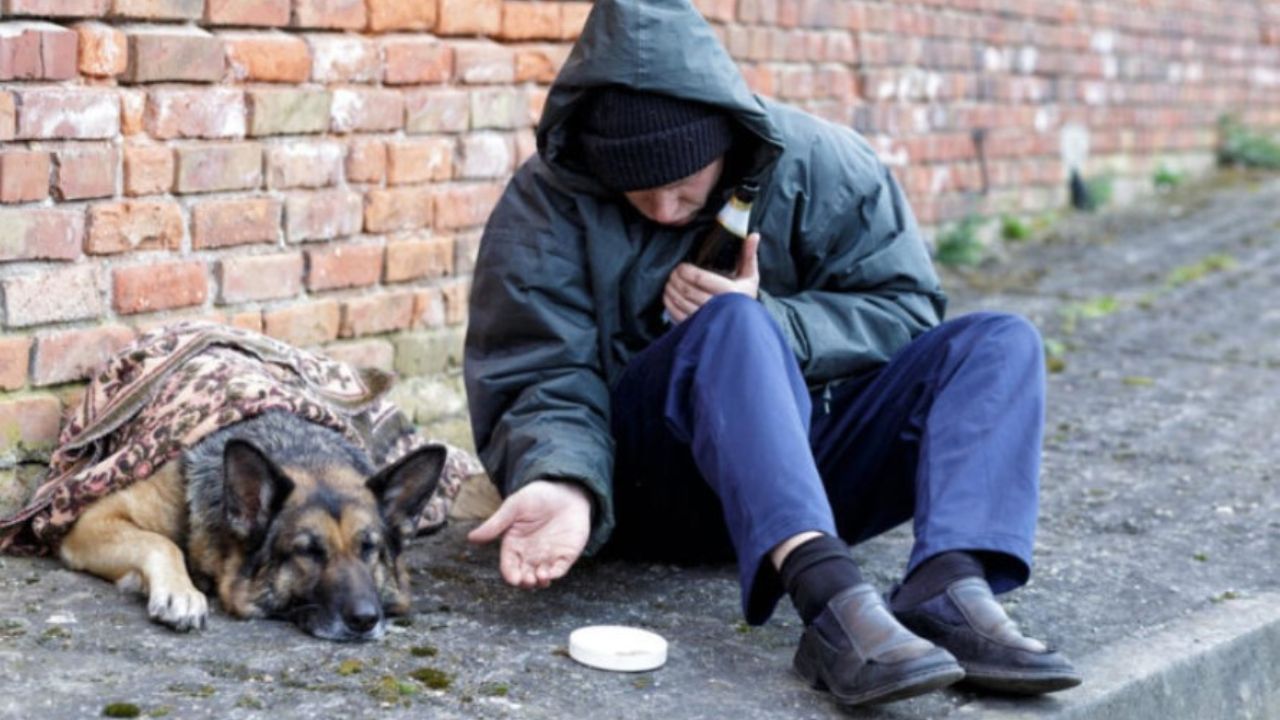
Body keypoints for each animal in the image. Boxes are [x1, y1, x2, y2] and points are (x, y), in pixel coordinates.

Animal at [58, 409, 445, 638]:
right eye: (307, 552)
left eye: (369, 549)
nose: (365, 619)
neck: (302, 450)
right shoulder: (92, 520)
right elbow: (161, 542)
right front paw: (181, 593)